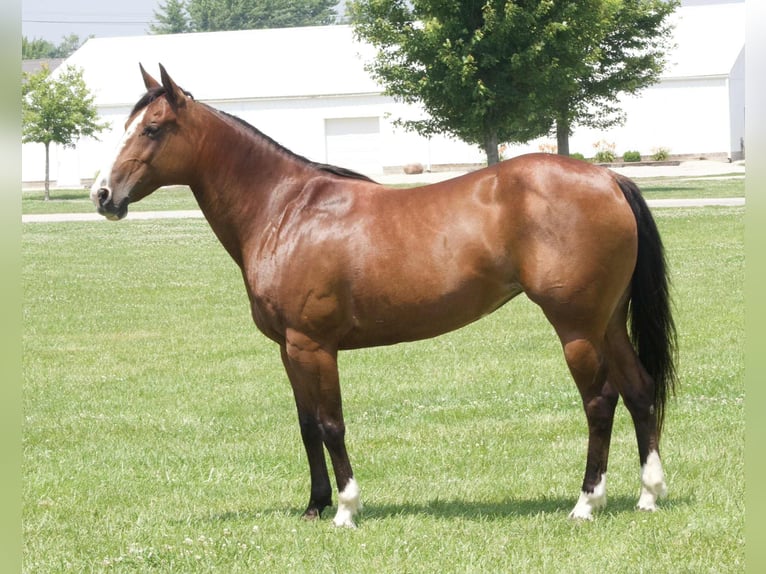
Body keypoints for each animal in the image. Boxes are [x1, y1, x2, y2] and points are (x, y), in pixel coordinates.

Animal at [90, 64, 676, 528]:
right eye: (126, 126)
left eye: (153, 128)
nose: (102, 196)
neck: (286, 210)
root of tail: (608, 178)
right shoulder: (288, 348)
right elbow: (307, 425)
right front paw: (314, 505)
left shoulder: (314, 346)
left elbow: (331, 424)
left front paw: (346, 509)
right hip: (608, 321)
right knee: (639, 390)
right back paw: (648, 495)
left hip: (576, 327)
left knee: (600, 401)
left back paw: (586, 503)